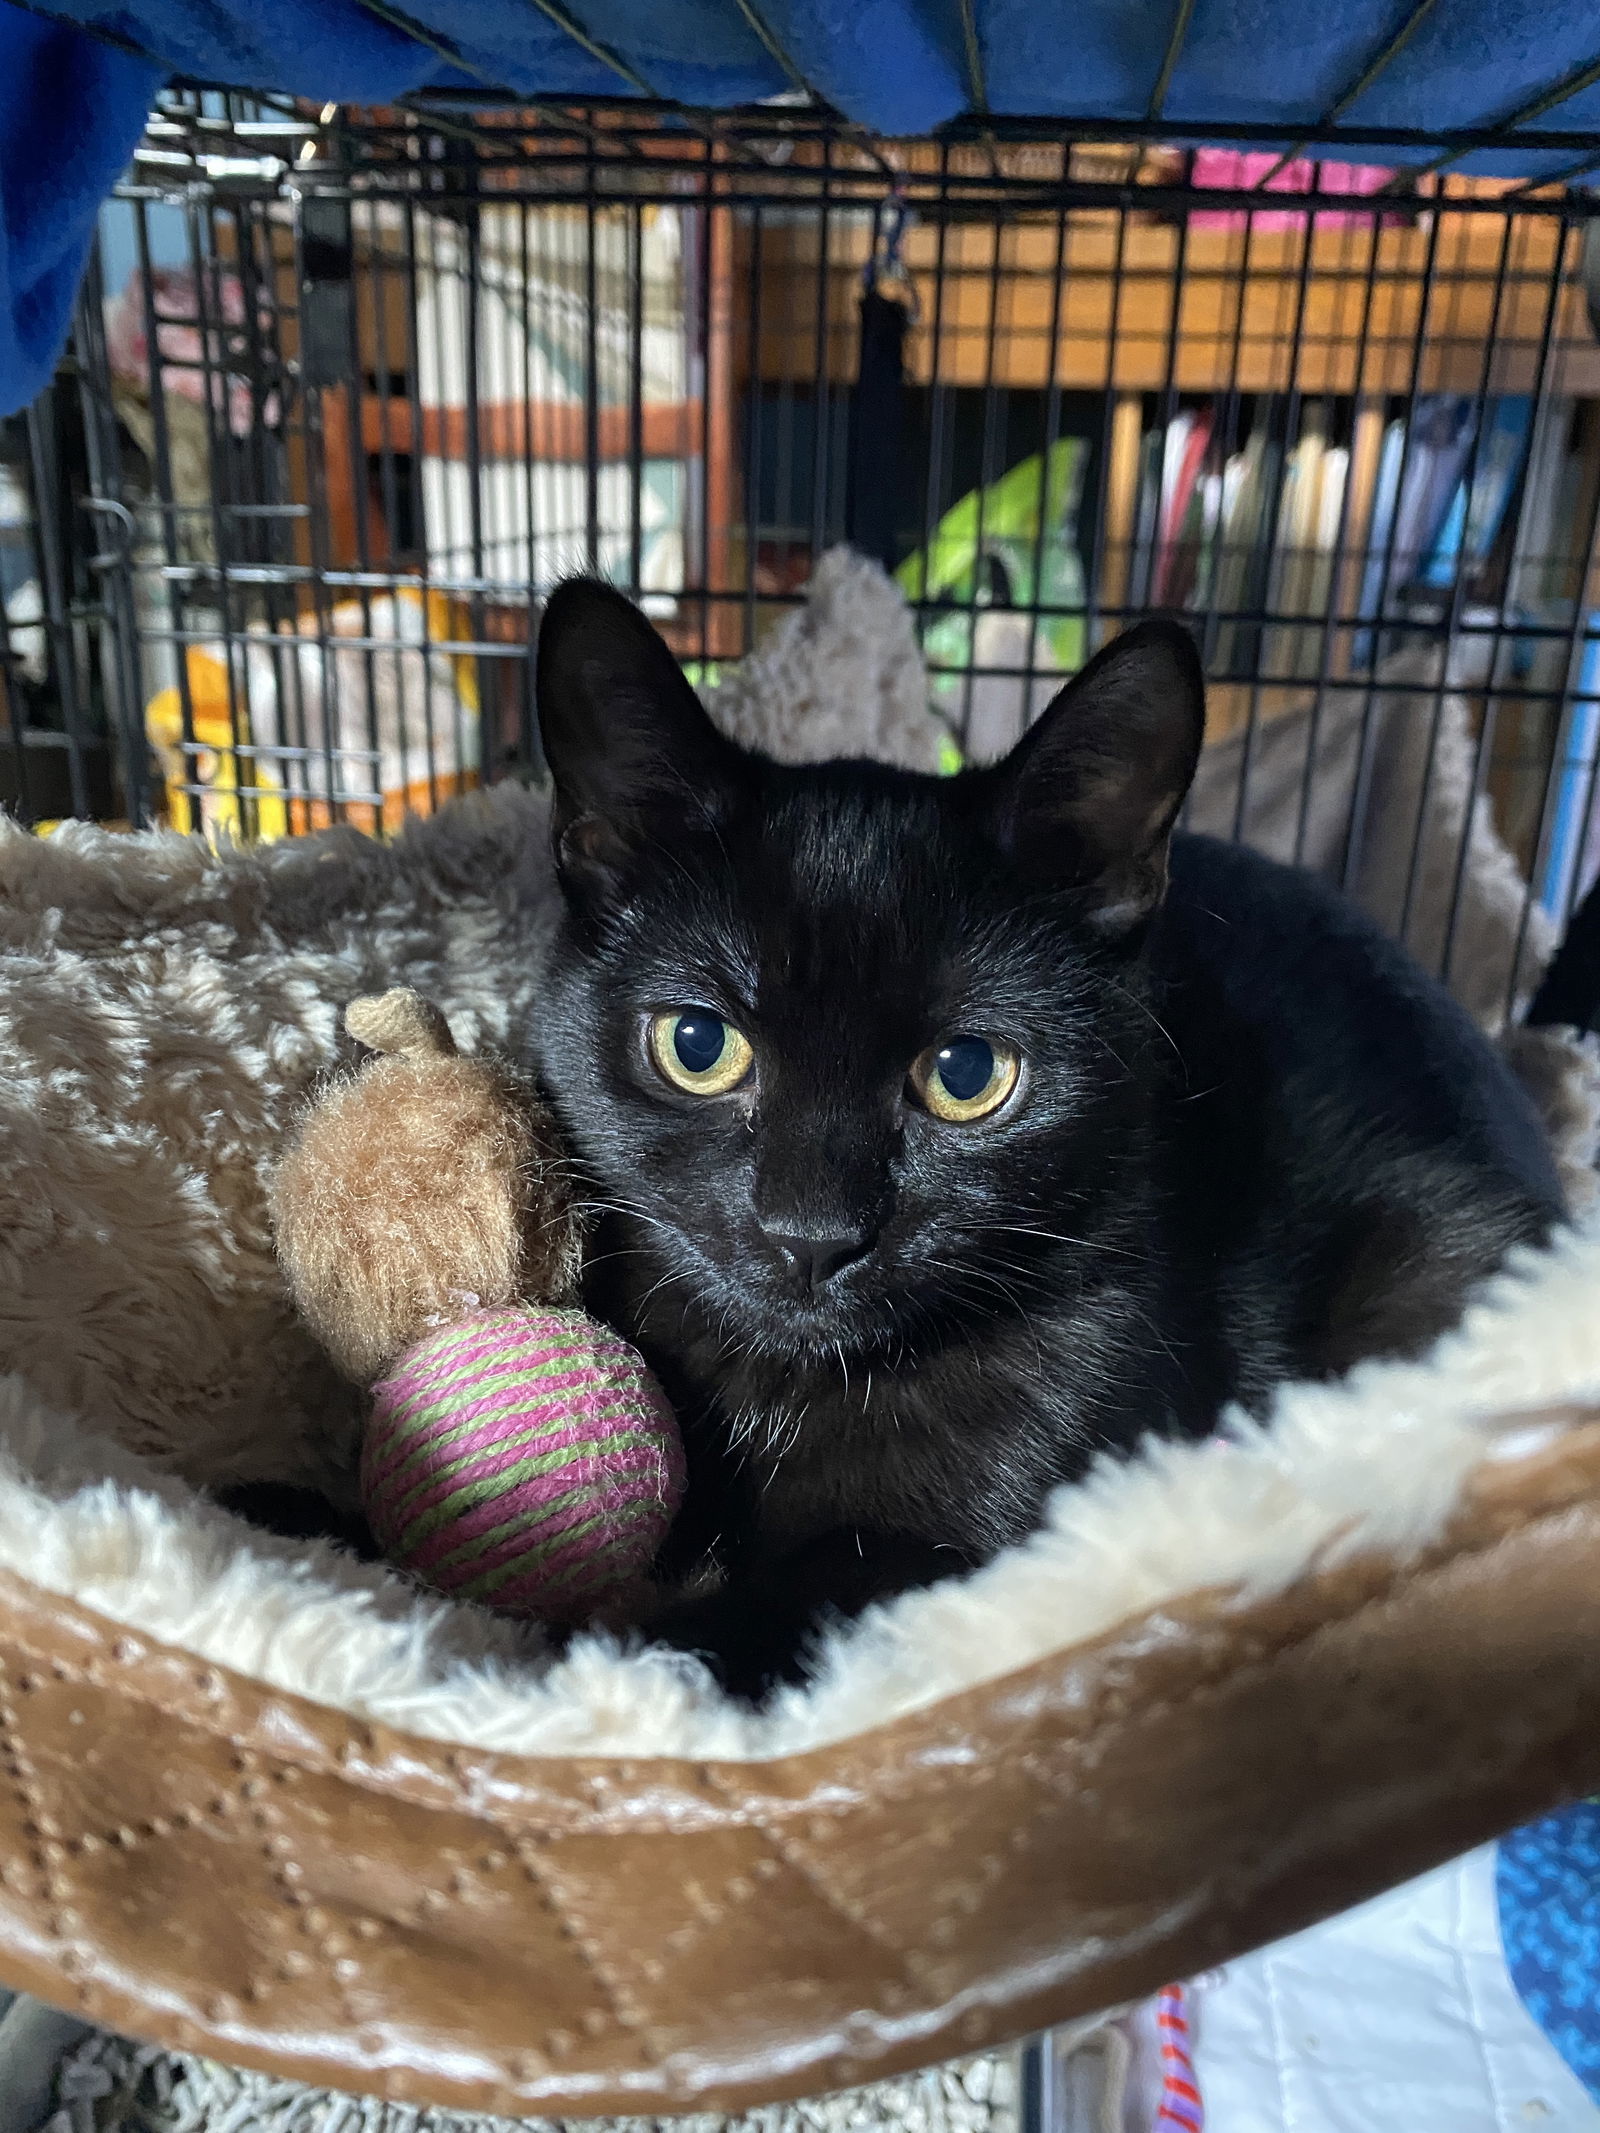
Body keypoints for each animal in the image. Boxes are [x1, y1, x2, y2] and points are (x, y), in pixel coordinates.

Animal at [529, 571, 1570, 1697]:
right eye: (696, 1043)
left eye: (967, 1074)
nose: (812, 1235)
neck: (789, 1382)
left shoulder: (1022, 1498)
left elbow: (816, 1595)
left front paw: (609, 1661)